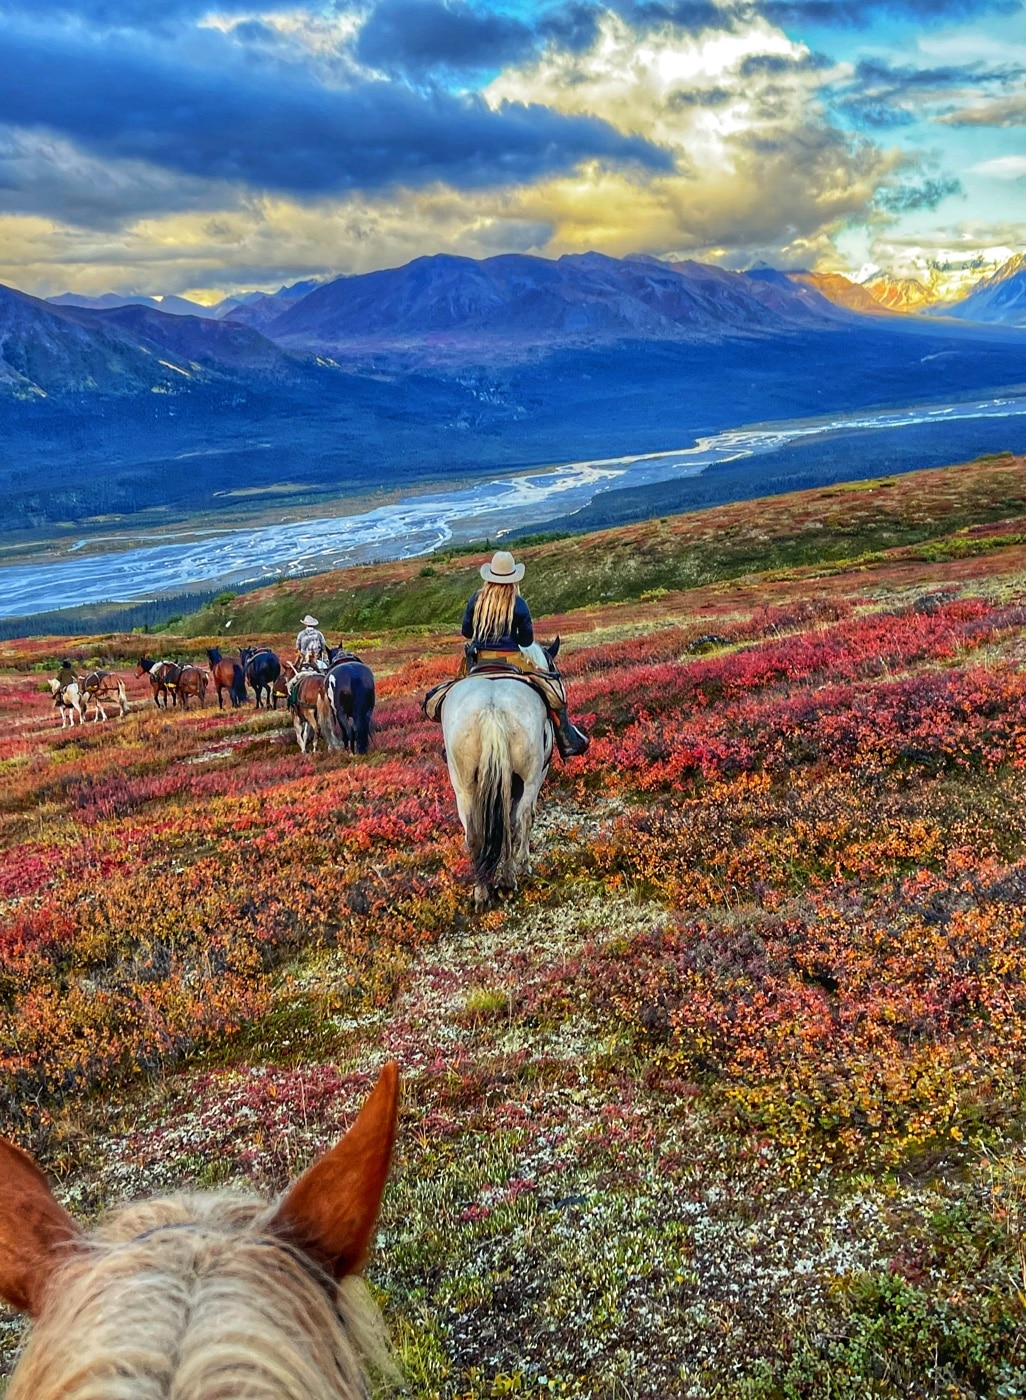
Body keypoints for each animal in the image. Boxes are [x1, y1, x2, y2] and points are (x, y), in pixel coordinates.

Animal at [439, 641, 551, 912]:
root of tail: (492, 710)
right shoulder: (536, 776)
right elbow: (524, 818)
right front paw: (522, 865)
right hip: (529, 777)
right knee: (518, 821)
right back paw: (510, 878)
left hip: (463, 786)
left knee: (474, 835)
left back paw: (482, 893)